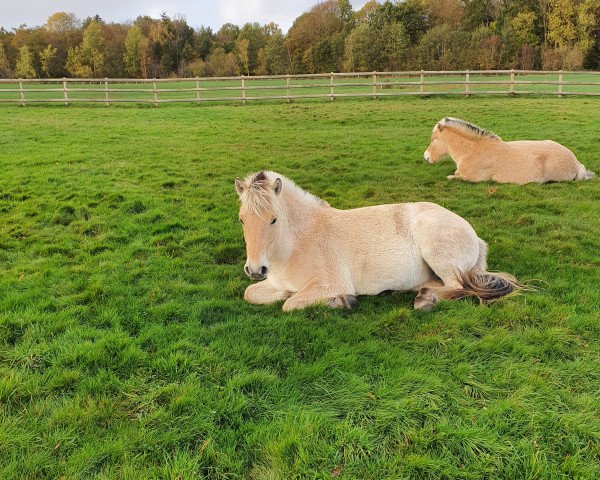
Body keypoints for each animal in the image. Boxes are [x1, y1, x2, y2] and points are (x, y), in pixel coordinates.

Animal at [234, 171, 520, 314]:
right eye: (241, 219)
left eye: (273, 220)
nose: (256, 270)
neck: (299, 241)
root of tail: (475, 236)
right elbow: (253, 294)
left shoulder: (330, 283)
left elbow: (289, 305)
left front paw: (344, 301)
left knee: (457, 286)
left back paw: (425, 299)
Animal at [422, 116, 596, 184]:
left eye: (433, 139)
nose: (426, 157)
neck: (474, 150)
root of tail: (575, 162)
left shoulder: (472, 179)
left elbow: (452, 177)